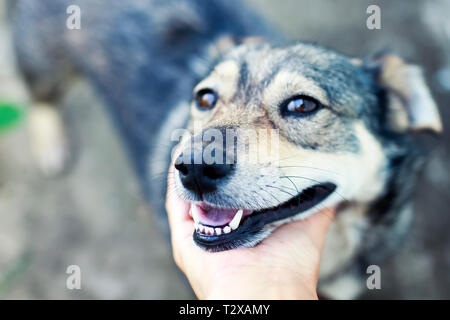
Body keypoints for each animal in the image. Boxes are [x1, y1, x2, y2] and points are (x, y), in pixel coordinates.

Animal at [10, 0, 442, 298]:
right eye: (205, 98)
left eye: (303, 105)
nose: (195, 168)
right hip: (44, 61)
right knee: (39, 96)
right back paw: (49, 141)